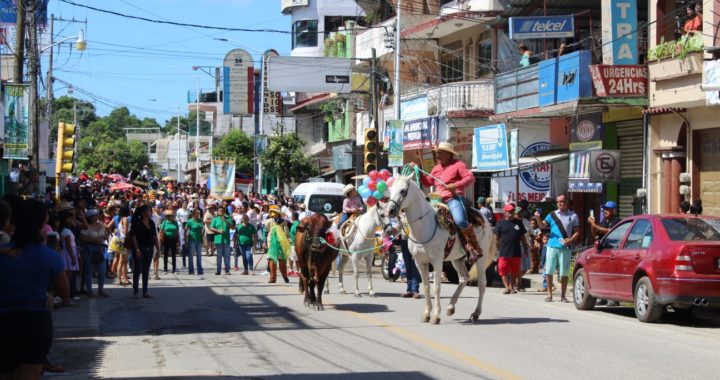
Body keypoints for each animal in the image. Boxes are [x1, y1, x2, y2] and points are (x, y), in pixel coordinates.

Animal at [386, 175, 498, 324]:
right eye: (391, 189)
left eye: (403, 190)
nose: (389, 211)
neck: (424, 226)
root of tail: (485, 219)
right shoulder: (419, 262)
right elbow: (426, 286)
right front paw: (426, 314)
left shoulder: (437, 261)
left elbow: (436, 287)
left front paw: (435, 316)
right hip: (457, 259)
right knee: (464, 278)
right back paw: (451, 307)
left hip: (481, 258)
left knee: (481, 283)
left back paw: (476, 313)